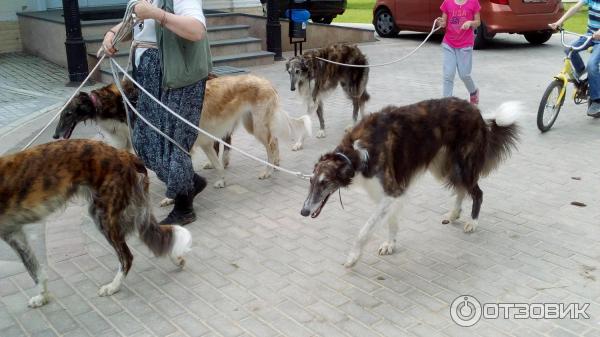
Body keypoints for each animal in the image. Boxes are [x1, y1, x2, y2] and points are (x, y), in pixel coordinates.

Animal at [0, 138, 192, 306]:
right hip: (134, 211)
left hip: (103, 216)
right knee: (158, 237)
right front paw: (42, 297)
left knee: (127, 257)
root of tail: (124, 154)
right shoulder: (13, 232)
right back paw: (176, 258)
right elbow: (34, 269)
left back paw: (113, 287)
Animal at [300, 98, 520, 268]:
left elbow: (364, 231)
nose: (303, 212)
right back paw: (454, 213)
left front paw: (353, 257)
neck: (355, 154)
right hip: (444, 166)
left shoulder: (392, 191)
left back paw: (472, 222)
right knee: (461, 189)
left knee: (477, 193)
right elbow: (391, 222)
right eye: (311, 181)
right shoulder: (387, 194)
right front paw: (390, 244)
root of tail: (477, 112)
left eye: (325, 182)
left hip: (464, 164)